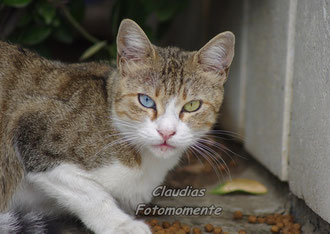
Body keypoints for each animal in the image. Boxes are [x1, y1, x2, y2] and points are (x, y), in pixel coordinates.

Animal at [0, 18, 235, 234]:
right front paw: (122, 225)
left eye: (192, 105)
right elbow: (91, 193)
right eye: (146, 100)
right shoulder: (29, 124)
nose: (166, 132)